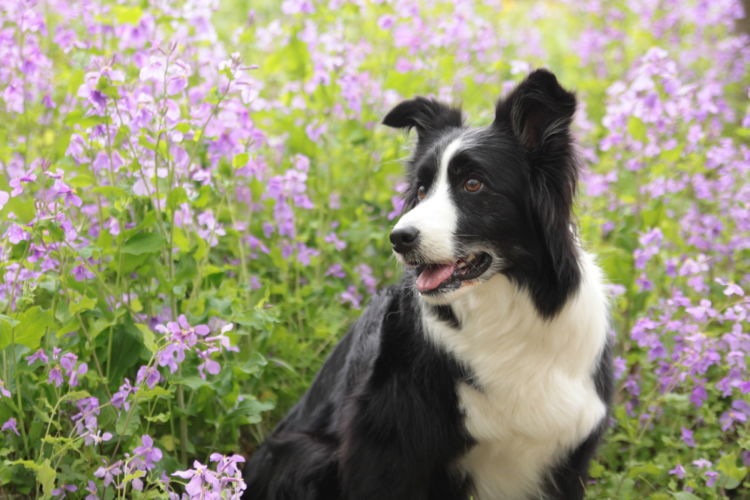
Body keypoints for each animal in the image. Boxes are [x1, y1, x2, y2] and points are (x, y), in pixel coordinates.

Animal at [244, 70, 612, 500]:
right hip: (306, 453)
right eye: (421, 190)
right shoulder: (385, 445)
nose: (398, 238)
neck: (508, 310)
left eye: (474, 184)